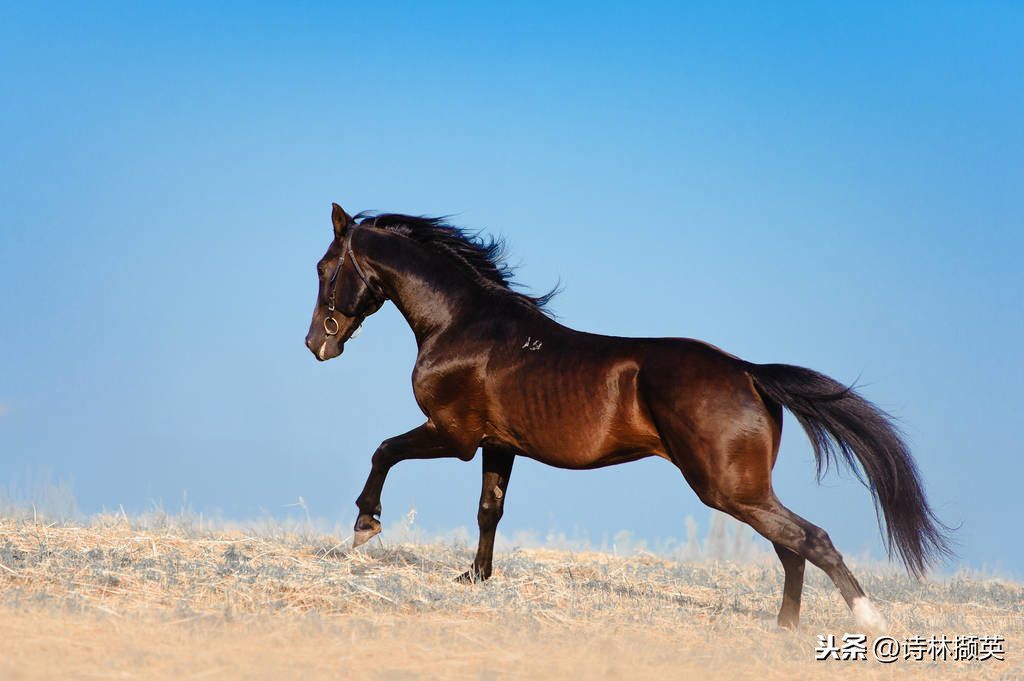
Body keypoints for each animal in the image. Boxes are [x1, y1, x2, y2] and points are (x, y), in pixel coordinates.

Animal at [303, 201, 950, 630]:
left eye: (324, 268)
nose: (316, 344)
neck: (464, 325)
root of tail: (747, 371)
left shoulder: (454, 434)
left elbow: (384, 450)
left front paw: (364, 528)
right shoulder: (497, 443)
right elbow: (490, 510)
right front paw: (475, 579)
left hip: (727, 488)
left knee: (809, 539)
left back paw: (867, 622)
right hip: (744, 489)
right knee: (792, 547)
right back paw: (785, 629)